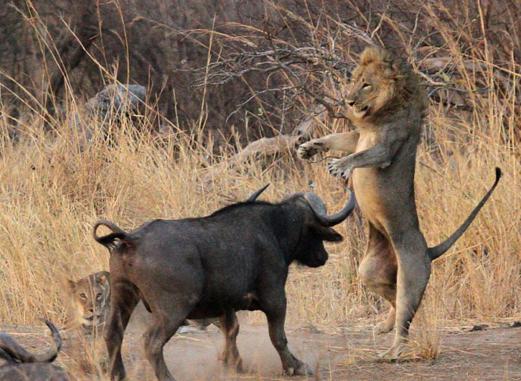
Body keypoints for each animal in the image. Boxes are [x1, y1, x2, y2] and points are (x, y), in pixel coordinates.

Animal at [93, 187, 356, 380]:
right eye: (314, 231)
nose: (323, 256)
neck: (273, 228)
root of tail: (132, 238)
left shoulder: (225, 305)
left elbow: (232, 330)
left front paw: (234, 364)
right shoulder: (275, 298)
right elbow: (278, 336)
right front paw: (295, 366)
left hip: (123, 296)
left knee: (113, 333)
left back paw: (117, 375)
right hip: (172, 310)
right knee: (151, 343)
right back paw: (167, 377)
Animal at [296, 46, 500, 358]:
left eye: (366, 84)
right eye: (355, 81)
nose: (349, 100)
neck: (379, 113)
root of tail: (428, 250)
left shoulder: (386, 148)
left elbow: (362, 155)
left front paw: (340, 165)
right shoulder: (358, 135)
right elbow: (339, 138)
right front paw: (308, 148)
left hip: (411, 273)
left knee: (407, 308)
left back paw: (392, 352)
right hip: (369, 270)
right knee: (394, 301)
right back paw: (385, 325)